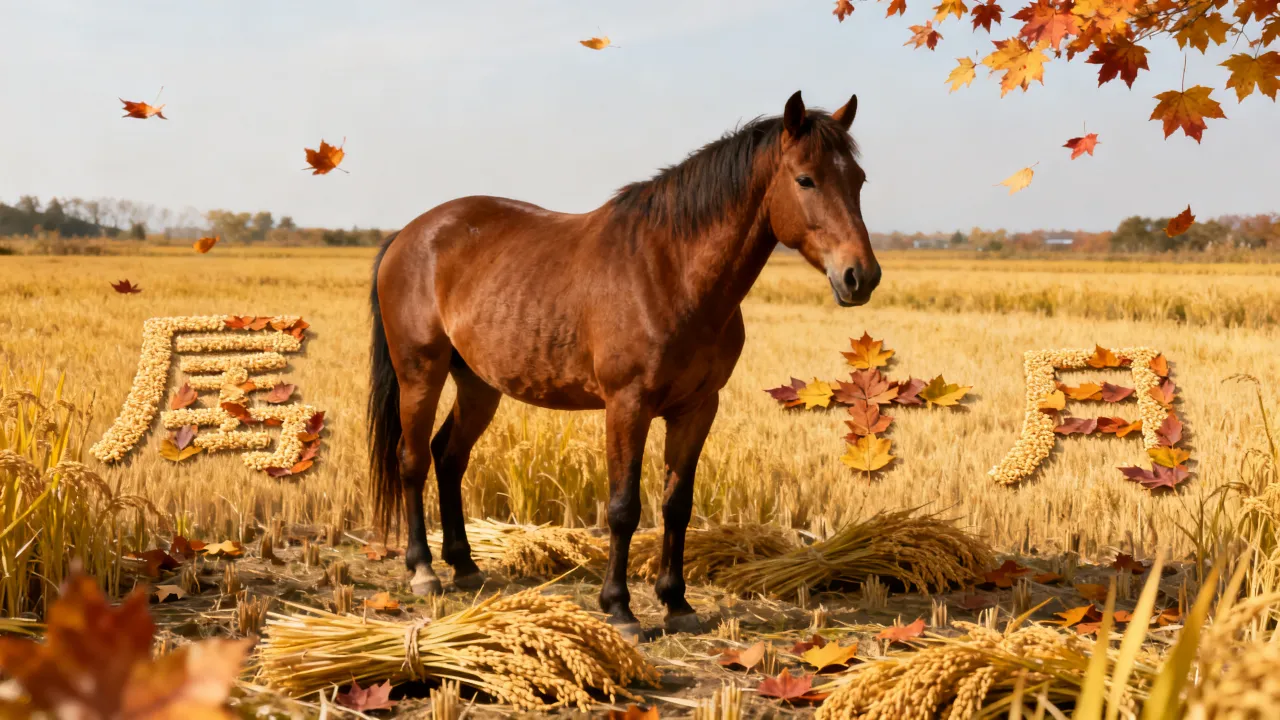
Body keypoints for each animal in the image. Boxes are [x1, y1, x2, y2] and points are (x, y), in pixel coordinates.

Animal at [368, 90, 880, 638]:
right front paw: (619, 608)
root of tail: (409, 234)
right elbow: (623, 507)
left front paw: (677, 603)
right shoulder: (627, 405)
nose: (860, 276)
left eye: (858, 180)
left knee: (449, 456)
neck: (671, 271)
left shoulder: (698, 407)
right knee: (413, 458)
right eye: (805, 179)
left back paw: (464, 564)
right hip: (420, 372)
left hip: (479, 384)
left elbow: (677, 505)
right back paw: (423, 569)